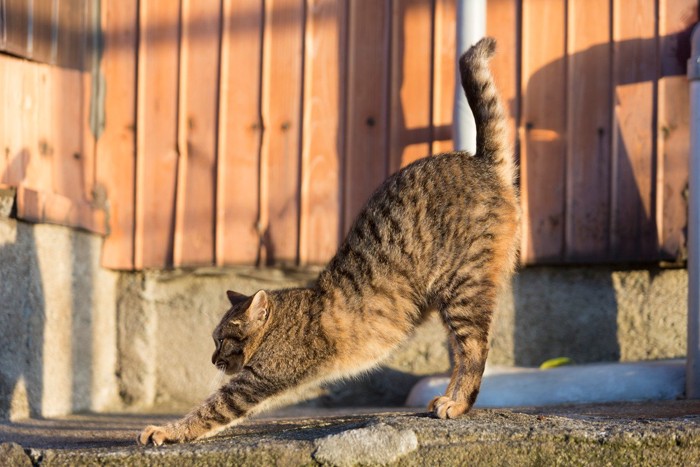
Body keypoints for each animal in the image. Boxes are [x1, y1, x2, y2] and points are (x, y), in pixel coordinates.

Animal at [138, 36, 520, 446]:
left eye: (223, 339)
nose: (213, 359)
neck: (286, 314)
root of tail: (480, 160)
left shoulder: (255, 381)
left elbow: (210, 410)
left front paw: (166, 430)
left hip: (462, 289)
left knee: (475, 348)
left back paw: (457, 402)